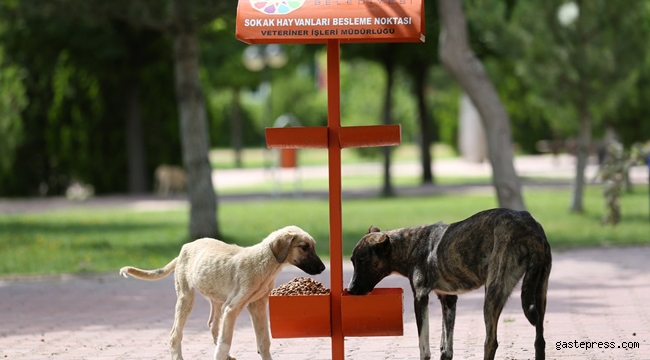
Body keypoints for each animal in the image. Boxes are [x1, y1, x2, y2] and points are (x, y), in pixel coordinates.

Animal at [118, 226, 324, 358]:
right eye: (304, 247)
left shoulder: (257, 306)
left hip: (217, 301)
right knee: (175, 334)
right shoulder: (233, 308)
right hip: (186, 298)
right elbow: (225, 343)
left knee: (213, 325)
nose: (322, 268)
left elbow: (264, 342)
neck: (264, 263)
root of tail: (186, 247)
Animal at [346, 208, 548, 360]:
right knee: (540, 340)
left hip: (492, 293)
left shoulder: (420, 298)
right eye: (352, 261)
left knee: (491, 342)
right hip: (540, 293)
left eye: (362, 261)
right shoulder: (448, 299)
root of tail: (528, 226)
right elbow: (446, 347)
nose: (350, 290)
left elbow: (424, 347)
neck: (410, 246)